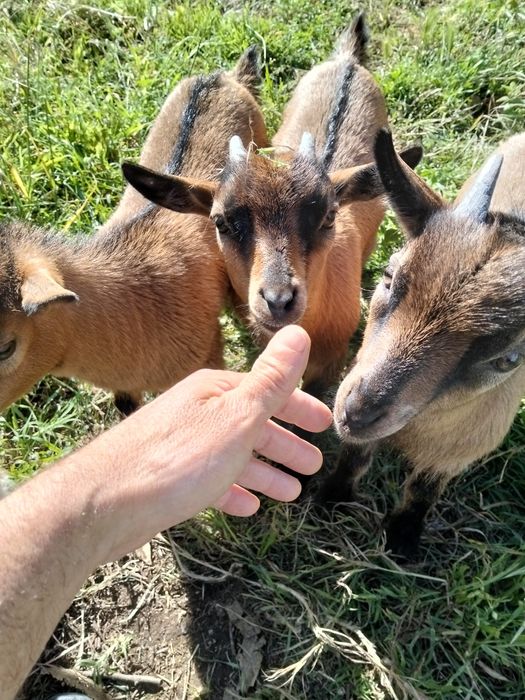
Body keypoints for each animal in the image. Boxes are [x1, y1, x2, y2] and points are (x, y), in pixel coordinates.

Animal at [325, 128, 525, 559]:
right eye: (389, 277)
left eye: (508, 358)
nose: (358, 412)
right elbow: (353, 456)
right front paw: (329, 497)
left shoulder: (455, 455)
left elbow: (422, 490)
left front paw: (402, 538)